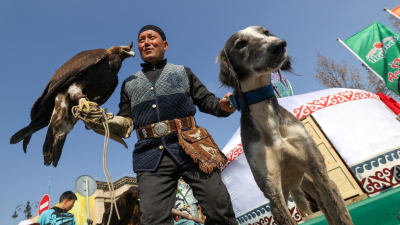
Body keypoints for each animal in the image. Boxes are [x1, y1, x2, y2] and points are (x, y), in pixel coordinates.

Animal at [217, 25, 352, 224]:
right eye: (240, 44)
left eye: (265, 32)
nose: (279, 45)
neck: (270, 124)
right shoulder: (273, 194)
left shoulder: (321, 175)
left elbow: (341, 217)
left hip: (310, 182)